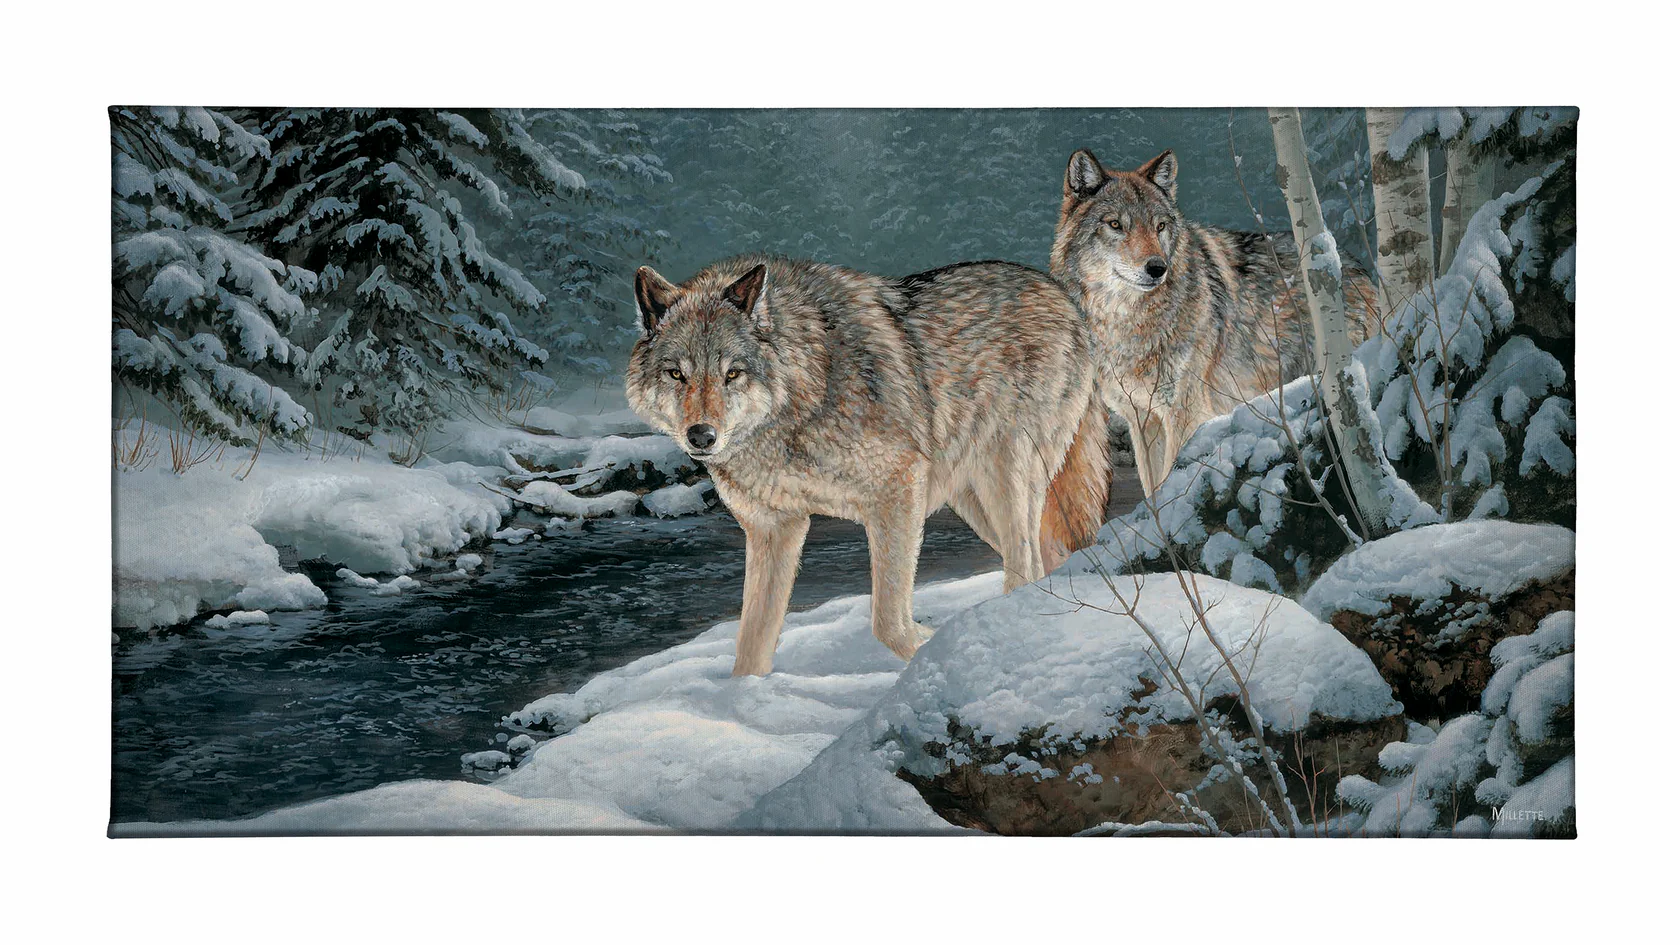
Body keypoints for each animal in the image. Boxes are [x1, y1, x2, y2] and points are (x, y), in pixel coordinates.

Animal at [626, 255, 1110, 675]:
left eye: (732, 374)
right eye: (676, 374)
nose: (701, 436)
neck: (807, 388)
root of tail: (1061, 294)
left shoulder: (898, 489)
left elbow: (888, 622)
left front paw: (927, 645)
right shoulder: (775, 528)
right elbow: (752, 647)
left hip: (1005, 476)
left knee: (1025, 564)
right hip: (972, 501)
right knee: (1045, 558)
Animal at [1051, 148, 1380, 497]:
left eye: (1160, 226)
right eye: (1116, 225)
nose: (1157, 268)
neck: (1130, 323)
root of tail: (1355, 266)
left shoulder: (1185, 414)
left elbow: (1168, 485)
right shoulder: (1143, 420)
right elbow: (1153, 489)